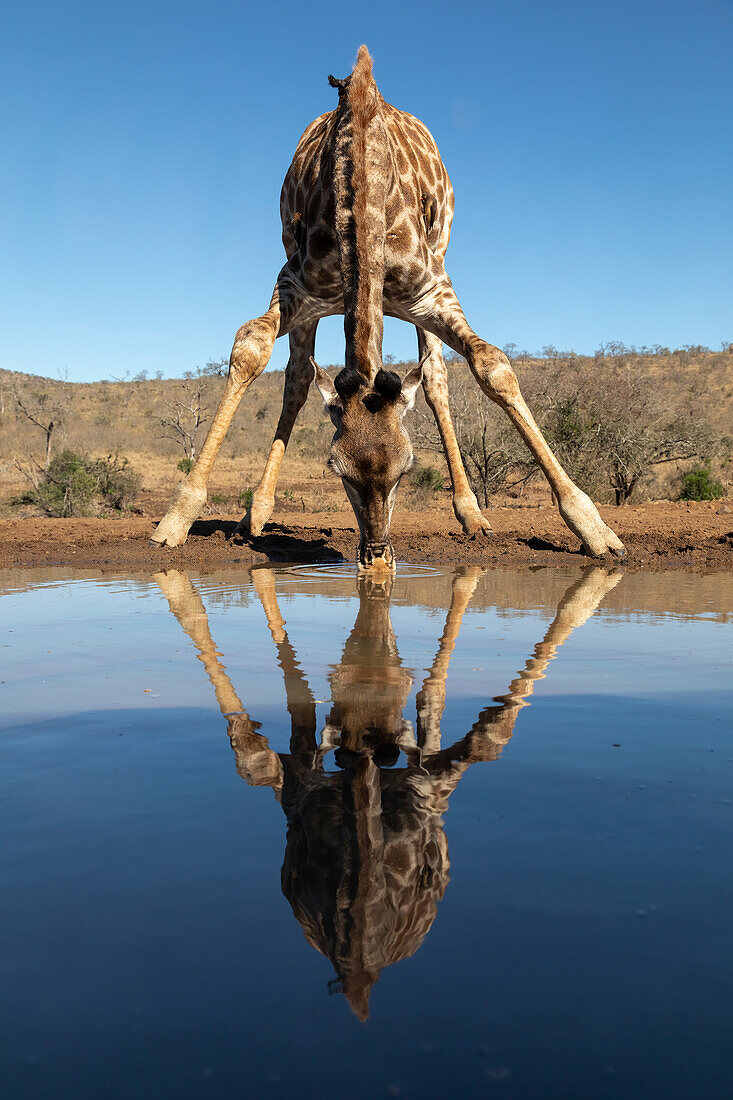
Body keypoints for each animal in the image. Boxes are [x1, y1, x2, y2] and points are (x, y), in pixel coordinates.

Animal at [149, 45, 620, 567]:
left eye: (406, 468)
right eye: (336, 469)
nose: (377, 554)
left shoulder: (431, 290)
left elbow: (491, 364)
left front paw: (594, 528)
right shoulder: (295, 284)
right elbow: (251, 348)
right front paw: (176, 519)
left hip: (436, 266)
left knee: (435, 377)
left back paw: (472, 515)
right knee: (297, 377)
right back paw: (255, 515)